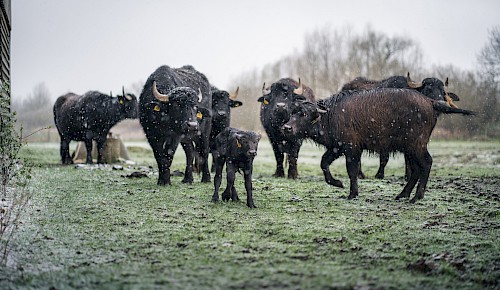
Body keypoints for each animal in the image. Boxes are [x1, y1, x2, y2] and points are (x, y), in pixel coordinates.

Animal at [284, 89, 474, 204]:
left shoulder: (352, 149)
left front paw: (352, 193)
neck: (331, 115)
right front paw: (337, 183)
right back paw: (403, 194)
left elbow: (352, 171)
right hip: (409, 148)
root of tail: (430, 101)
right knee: (416, 169)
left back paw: (416, 197)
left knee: (426, 163)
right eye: (292, 112)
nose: (287, 128)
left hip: (416, 145)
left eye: (305, 113)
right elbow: (324, 163)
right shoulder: (337, 148)